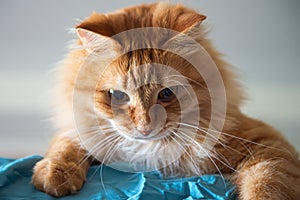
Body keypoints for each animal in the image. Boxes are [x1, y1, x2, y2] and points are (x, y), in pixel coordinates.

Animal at [31, 2, 298, 199]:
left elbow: (267, 183)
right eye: (118, 96)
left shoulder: (266, 144)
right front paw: (54, 174)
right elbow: (66, 144)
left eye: (167, 94)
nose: (144, 127)